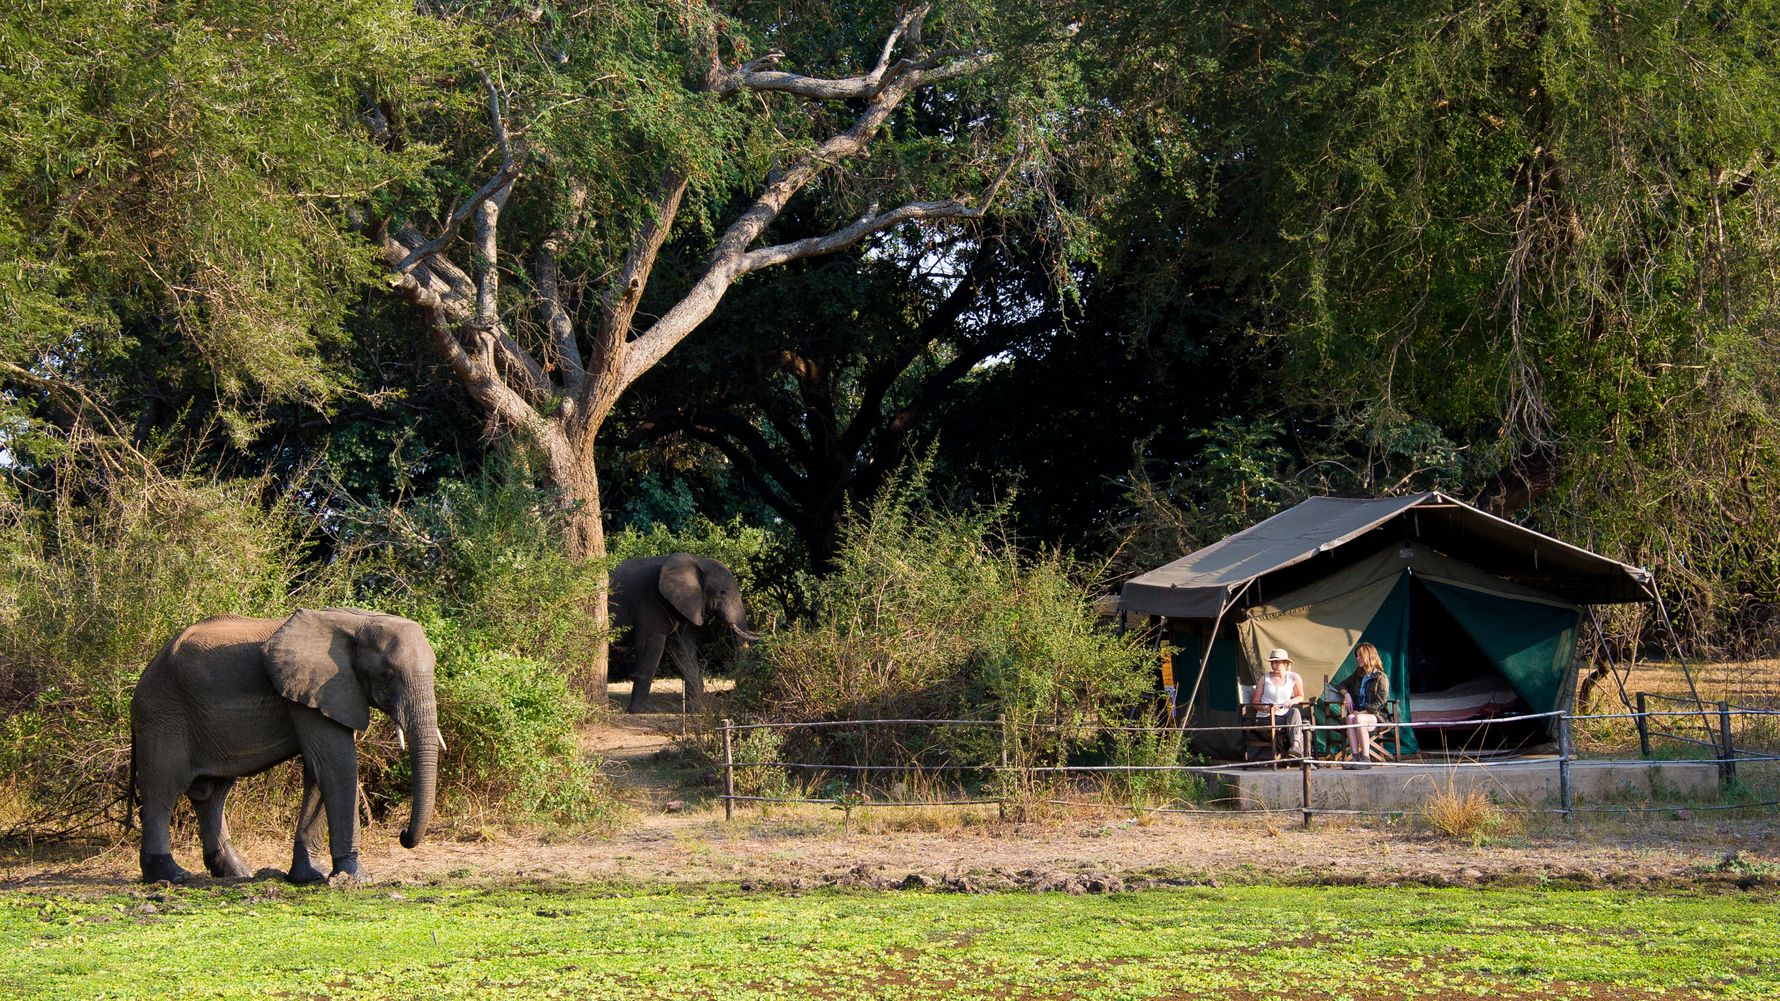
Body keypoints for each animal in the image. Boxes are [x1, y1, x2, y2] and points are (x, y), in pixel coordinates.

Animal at [129, 608, 442, 885]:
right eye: (388, 675)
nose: (403, 833)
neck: (359, 621)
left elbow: (319, 771)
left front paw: (310, 875)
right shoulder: (313, 691)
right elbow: (336, 766)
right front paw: (357, 878)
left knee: (212, 793)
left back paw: (237, 873)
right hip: (163, 715)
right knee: (163, 790)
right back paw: (171, 876)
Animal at [610, 553, 756, 713]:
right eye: (722, 592)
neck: (698, 561)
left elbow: (683, 648)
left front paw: (697, 710)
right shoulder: (652, 602)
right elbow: (649, 646)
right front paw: (636, 711)